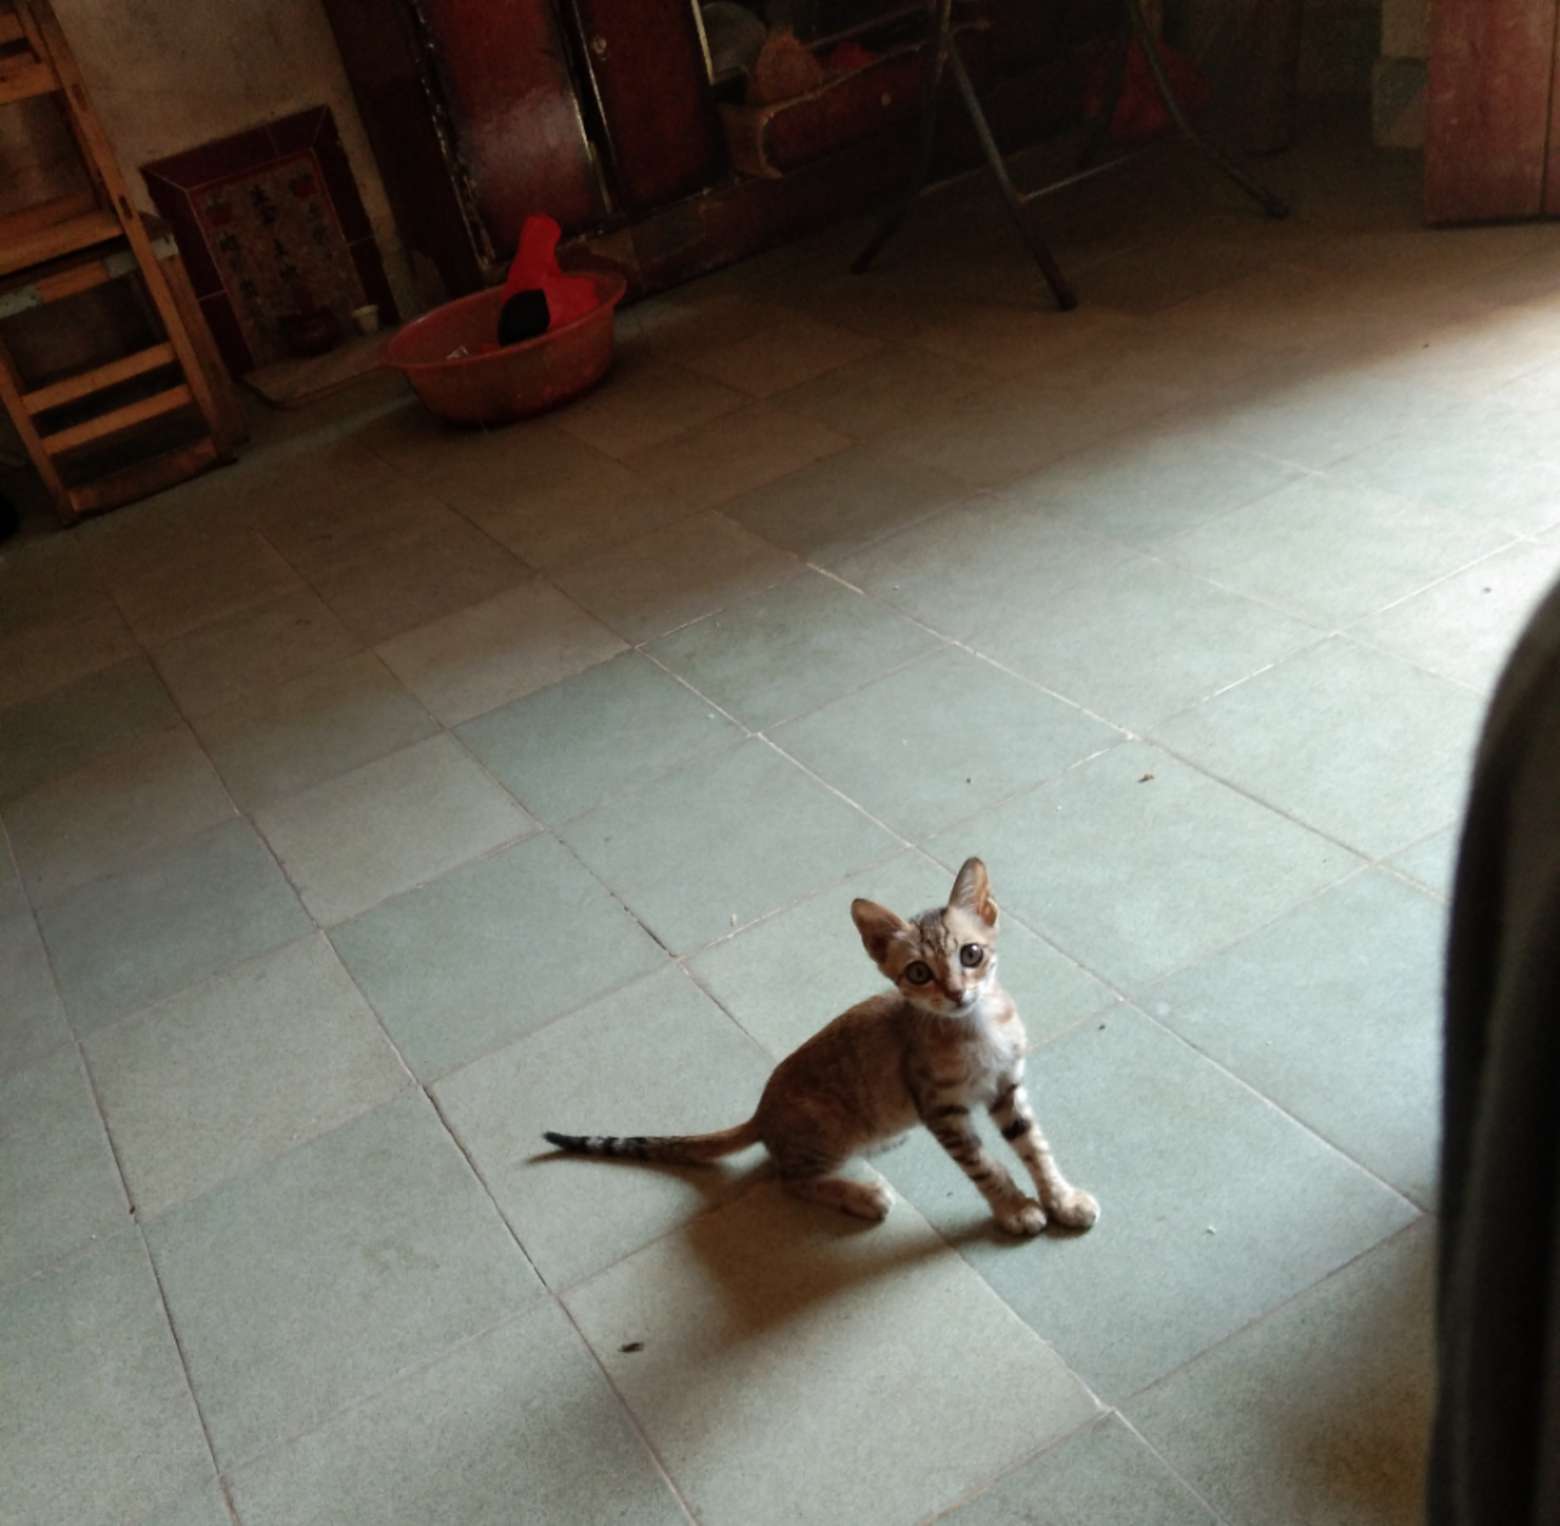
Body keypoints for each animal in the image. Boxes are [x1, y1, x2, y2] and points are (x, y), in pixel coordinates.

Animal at [544, 857, 1099, 1237]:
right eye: (919, 973)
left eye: (972, 954)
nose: (958, 994)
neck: (976, 1029)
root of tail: (762, 1112)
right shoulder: (940, 1109)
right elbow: (985, 1165)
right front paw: (1015, 1208)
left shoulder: (1007, 1085)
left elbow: (1034, 1147)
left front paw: (1061, 1199)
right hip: (829, 1124)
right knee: (788, 1177)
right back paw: (860, 1194)